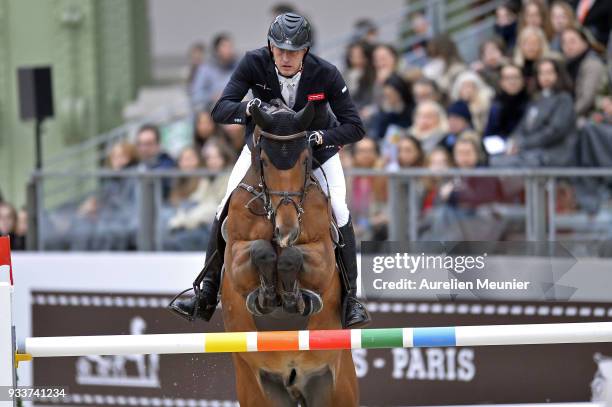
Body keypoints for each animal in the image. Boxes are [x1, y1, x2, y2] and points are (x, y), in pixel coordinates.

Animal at [219, 100, 356, 406]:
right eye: (264, 161)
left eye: (306, 159)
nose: (287, 231)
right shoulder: (236, 256)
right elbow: (261, 251)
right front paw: (268, 296)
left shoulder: (322, 256)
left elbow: (293, 257)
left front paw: (294, 298)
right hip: (258, 387)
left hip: (335, 383)